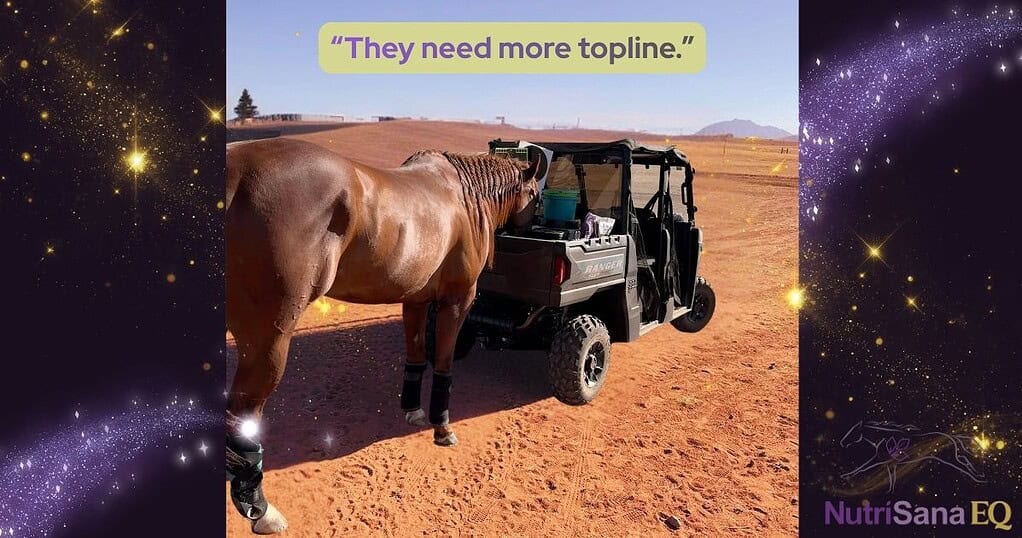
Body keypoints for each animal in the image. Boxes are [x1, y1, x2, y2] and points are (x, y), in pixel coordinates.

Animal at [224, 138, 540, 533]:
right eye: (537, 195)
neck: (464, 196)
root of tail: (235, 171)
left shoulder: (416, 300)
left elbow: (416, 356)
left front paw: (413, 412)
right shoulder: (458, 300)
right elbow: (444, 364)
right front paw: (442, 428)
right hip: (266, 342)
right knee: (241, 417)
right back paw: (261, 509)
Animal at [838, 420, 985, 493]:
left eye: (852, 432)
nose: (842, 442)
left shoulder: (882, 461)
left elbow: (865, 468)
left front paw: (847, 477)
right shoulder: (888, 463)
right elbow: (882, 474)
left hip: (953, 460)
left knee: (965, 465)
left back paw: (978, 477)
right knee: (965, 462)